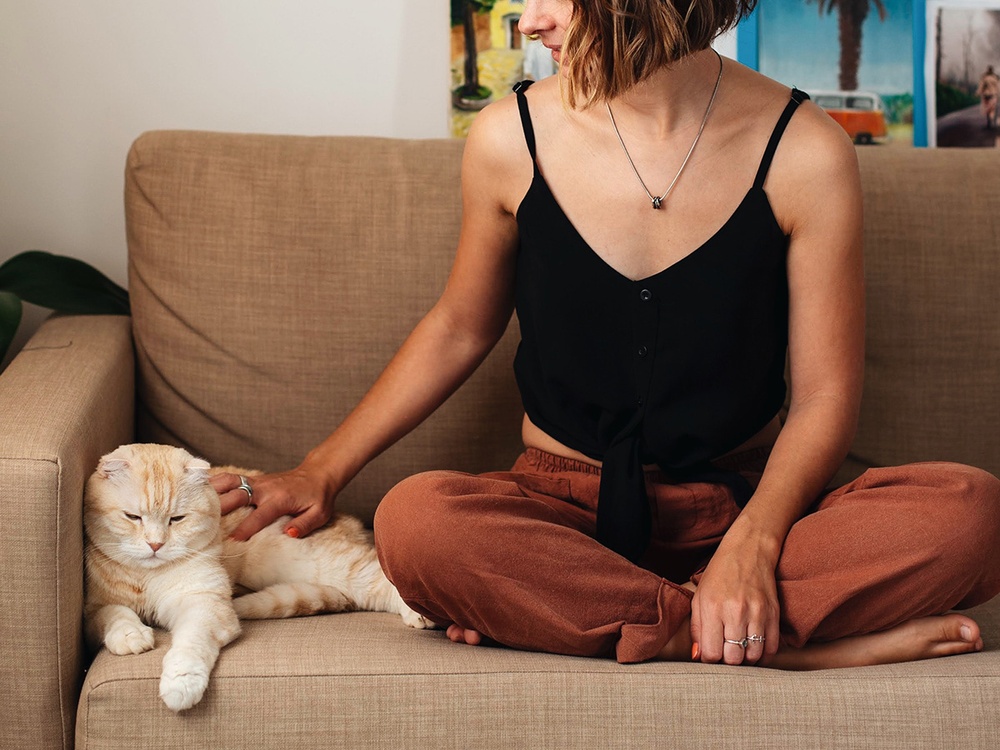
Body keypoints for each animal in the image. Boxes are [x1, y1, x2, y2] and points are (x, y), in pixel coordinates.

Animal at [85, 444, 430, 712]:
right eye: (133, 517)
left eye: (177, 519)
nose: (155, 545)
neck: (145, 575)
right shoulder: (92, 610)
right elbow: (113, 613)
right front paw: (130, 634)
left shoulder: (204, 604)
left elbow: (190, 645)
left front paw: (180, 685)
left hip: (311, 561)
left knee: (376, 575)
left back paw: (420, 611)